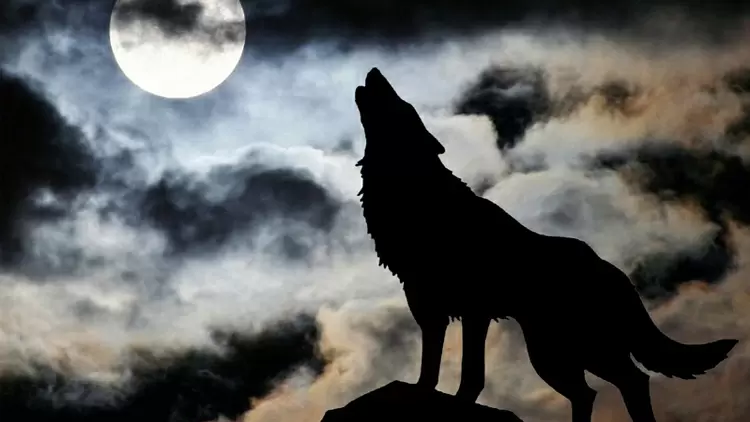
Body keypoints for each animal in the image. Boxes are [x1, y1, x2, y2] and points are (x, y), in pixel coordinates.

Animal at [353, 67, 738, 422]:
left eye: (402, 105)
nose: (374, 71)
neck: (418, 192)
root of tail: (615, 272)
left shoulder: (474, 311)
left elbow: (471, 375)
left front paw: (458, 404)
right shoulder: (428, 307)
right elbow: (430, 370)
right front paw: (420, 394)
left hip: (577, 348)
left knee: (631, 381)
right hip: (553, 352)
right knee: (590, 392)